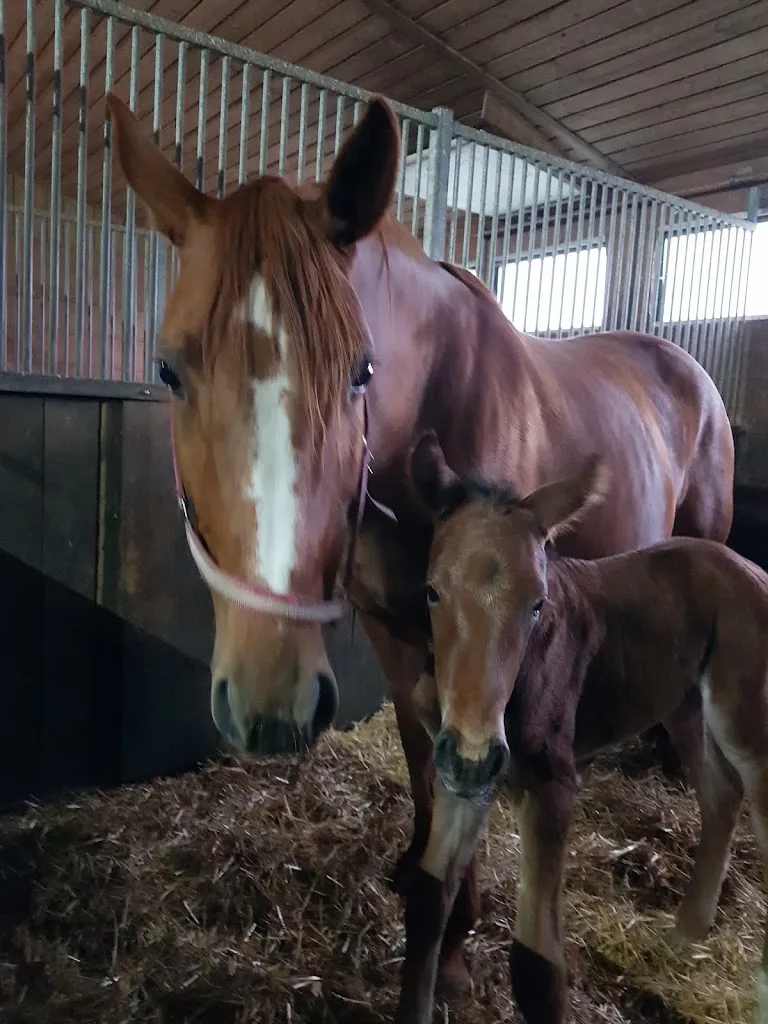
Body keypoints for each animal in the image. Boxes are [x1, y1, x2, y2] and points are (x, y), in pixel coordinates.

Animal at [104, 91, 735, 1004]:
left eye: (362, 372)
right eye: (168, 370)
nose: (271, 710)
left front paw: (458, 951)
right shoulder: (400, 643)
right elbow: (424, 773)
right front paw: (430, 894)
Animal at [402, 429, 768, 1024]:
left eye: (537, 603)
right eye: (432, 590)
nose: (474, 754)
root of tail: (750, 568)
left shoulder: (551, 785)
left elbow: (536, 968)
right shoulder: (462, 777)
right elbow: (429, 902)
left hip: (745, 719)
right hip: (683, 706)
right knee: (720, 795)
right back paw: (685, 933)